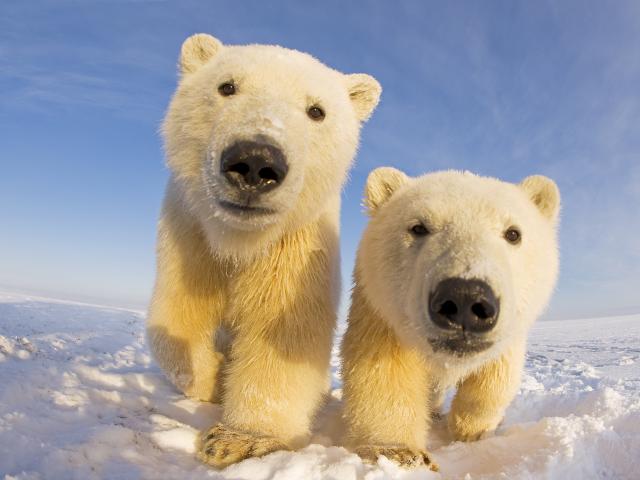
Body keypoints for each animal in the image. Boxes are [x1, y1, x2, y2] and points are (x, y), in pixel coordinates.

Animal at [146, 33, 381, 468]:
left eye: (316, 110)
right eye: (227, 86)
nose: (255, 162)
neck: (239, 240)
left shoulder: (294, 249)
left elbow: (282, 332)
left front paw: (239, 439)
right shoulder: (190, 236)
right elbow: (176, 318)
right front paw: (215, 378)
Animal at [341, 168, 560, 470]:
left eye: (513, 233)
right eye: (418, 227)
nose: (465, 298)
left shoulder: (510, 331)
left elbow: (496, 375)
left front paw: (474, 430)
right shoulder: (379, 310)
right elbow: (381, 370)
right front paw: (398, 452)